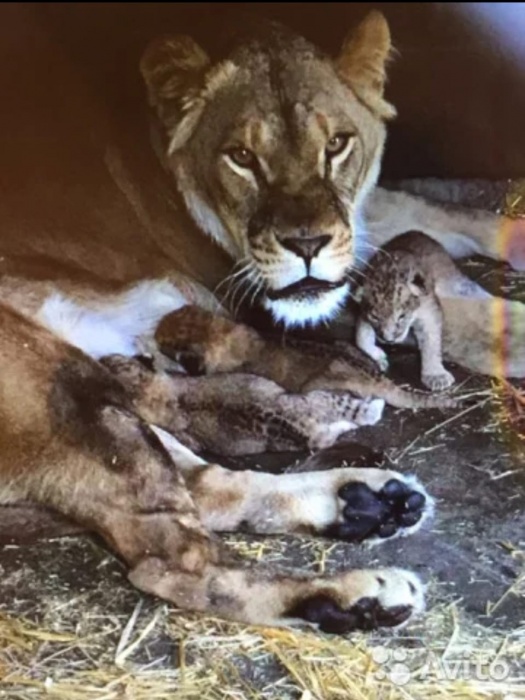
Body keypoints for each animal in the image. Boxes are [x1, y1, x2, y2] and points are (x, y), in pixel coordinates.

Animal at [0, 6, 523, 633]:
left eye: (337, 145)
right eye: (242, 157)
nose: (308, 245)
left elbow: (439, 211)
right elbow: (463, 313)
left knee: (207, 487)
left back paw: (370, 502)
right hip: (64, 389)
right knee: (174, 564)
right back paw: (356, 595)